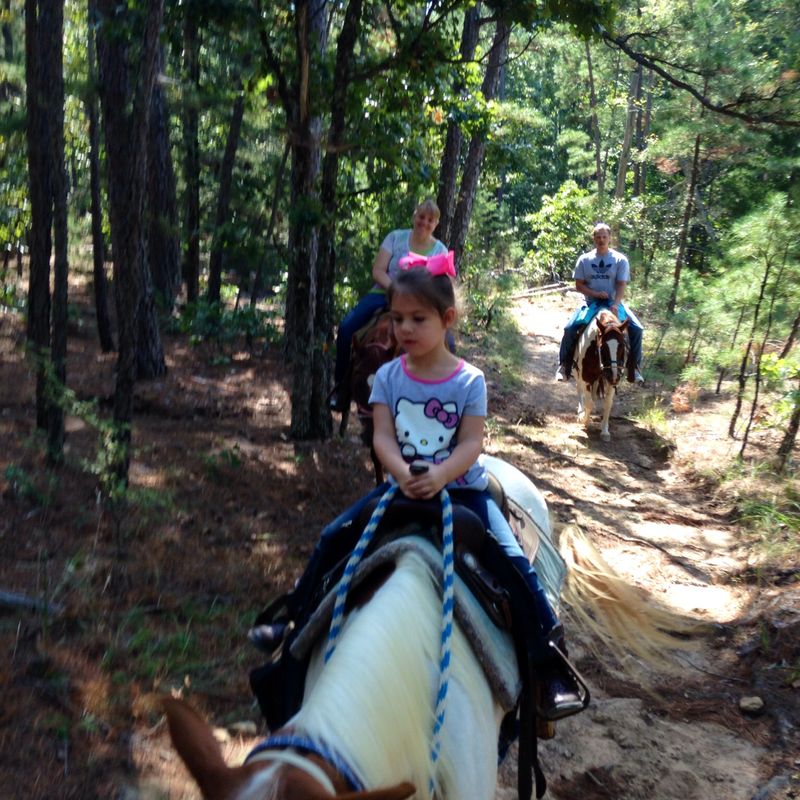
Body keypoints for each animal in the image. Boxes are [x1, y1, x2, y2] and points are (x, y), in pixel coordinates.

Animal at [576, 308, 632, 444]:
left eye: (622, 345)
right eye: (603, 347)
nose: (614, 376)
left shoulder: (611, 379)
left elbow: (607, 403)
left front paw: (605, 431)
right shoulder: (585, 376)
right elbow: (589, 403)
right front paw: (584, 421)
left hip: (599, 377)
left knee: (593, 391)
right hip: (578, 371)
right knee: (579, 388)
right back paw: (580, 412)